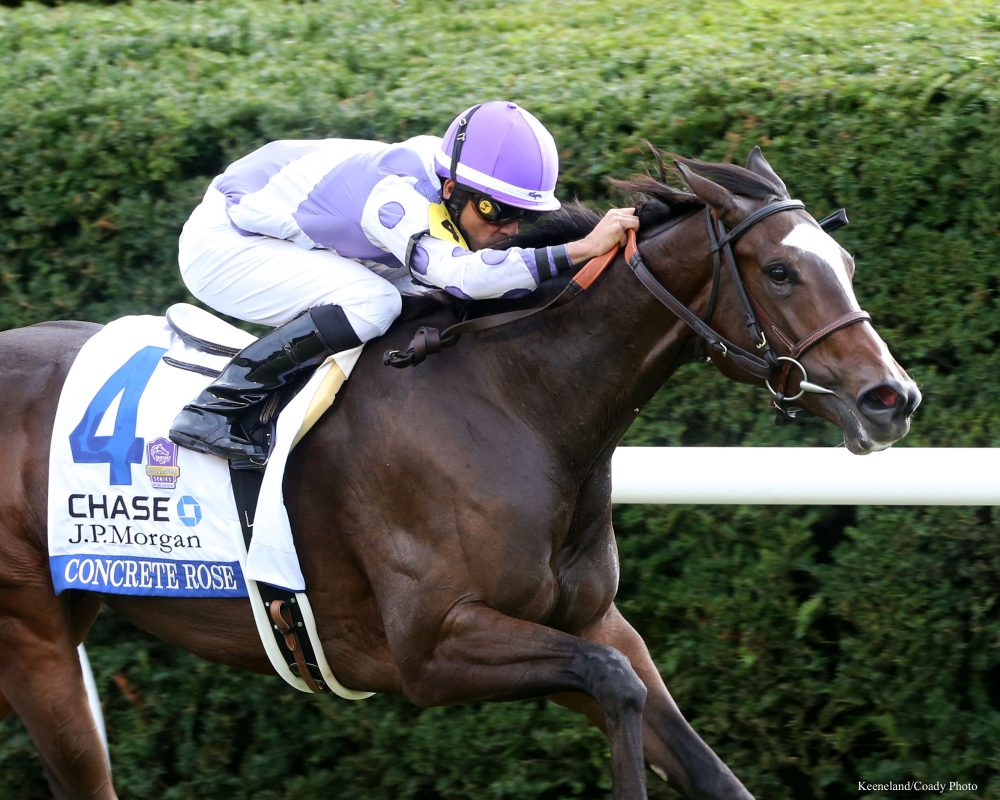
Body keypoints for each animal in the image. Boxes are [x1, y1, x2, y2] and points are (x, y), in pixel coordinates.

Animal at [0, 148, 921, 800]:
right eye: (781, 271)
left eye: (844, 263)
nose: (891, 398)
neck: (521, 402)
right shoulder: (430, 649)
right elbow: (614, 687)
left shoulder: (589, 621)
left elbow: (692, 752)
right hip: (34, 641)